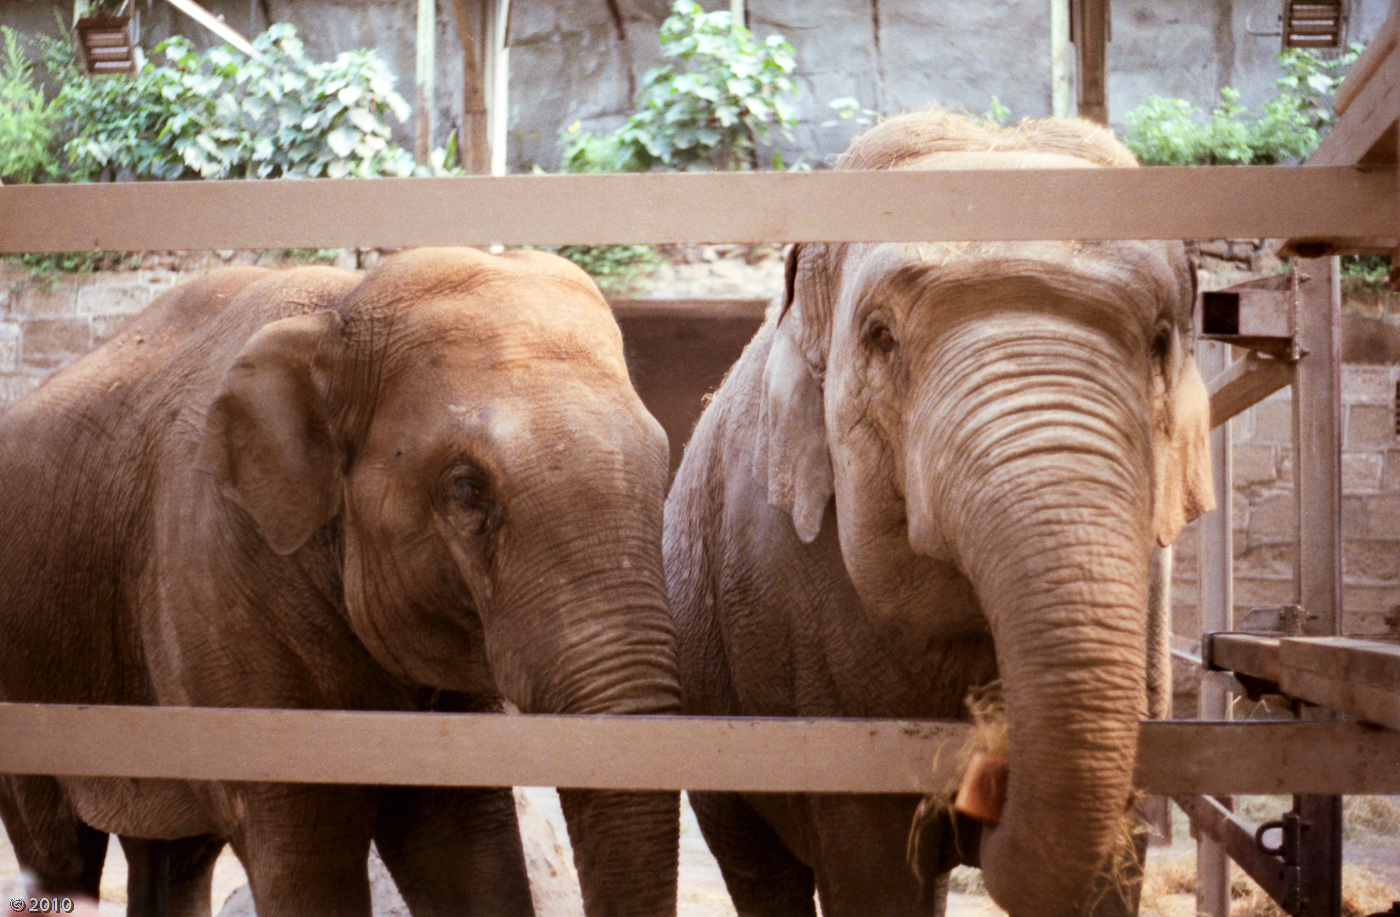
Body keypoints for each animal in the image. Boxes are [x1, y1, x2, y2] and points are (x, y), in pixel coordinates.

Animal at [0, 248, 681, 917]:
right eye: (467, 488)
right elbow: (308, 862)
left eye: (665, 457)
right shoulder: (215, 574)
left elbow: (464, 845)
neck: (339, 313)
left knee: (174, 855)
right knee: (58, 850)